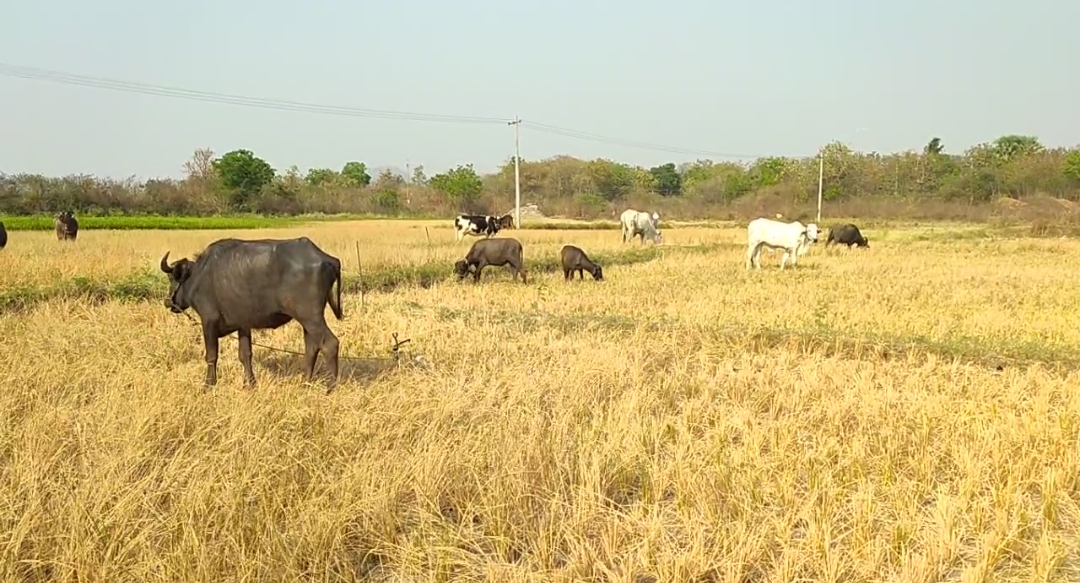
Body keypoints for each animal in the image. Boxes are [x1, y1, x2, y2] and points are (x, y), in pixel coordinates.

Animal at [159, 236, 343, 390]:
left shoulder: (208, 320)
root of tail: (328, 260)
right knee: (312, 347)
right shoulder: (243, 325)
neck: (200, 275)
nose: (168, 302)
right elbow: (245, 354)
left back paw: (330, 388)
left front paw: (208, 385)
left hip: (311, 317)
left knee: (329, 344)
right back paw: (304, 383)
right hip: (308, 321)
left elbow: (211, 355)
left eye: (172, 277)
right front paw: (250, 384)